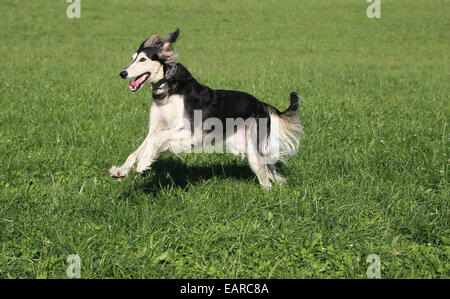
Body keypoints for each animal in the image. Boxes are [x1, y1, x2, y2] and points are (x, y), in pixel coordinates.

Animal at [109, 29, 304, 189]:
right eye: (132, 58)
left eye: (143, 59)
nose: (123, 73)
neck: (169, 90)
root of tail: (262, 103)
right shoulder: (156, 128)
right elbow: (139, 149)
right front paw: (121, 171)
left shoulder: (190, 132)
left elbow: (156, 140)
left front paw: (144, 163)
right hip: (241, 142)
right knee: (269, 167)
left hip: (253, 147)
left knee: (262, 171)